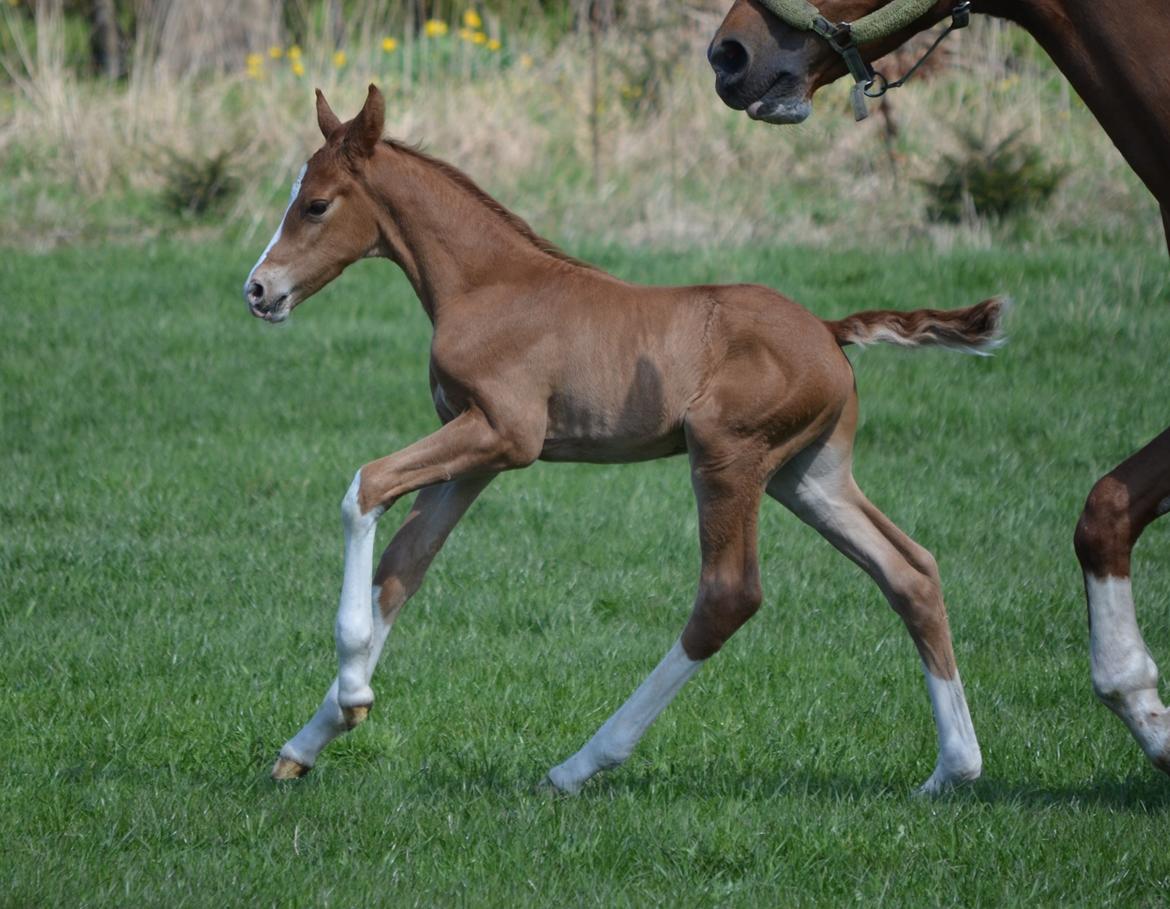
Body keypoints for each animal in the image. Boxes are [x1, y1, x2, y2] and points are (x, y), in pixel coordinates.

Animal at [246, 87, 1006, 795]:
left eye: (315, 204)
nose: (257, 290)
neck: (487, 285)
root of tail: (828, 329)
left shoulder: (504, 434)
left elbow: (364, 487)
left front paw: (352, 693)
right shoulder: (471, 451)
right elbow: (403, 569)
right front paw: (311, 739)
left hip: (726, 453)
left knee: (728, 595)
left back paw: (578, 765)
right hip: (808, 474)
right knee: (909, 569)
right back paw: (954, 769)